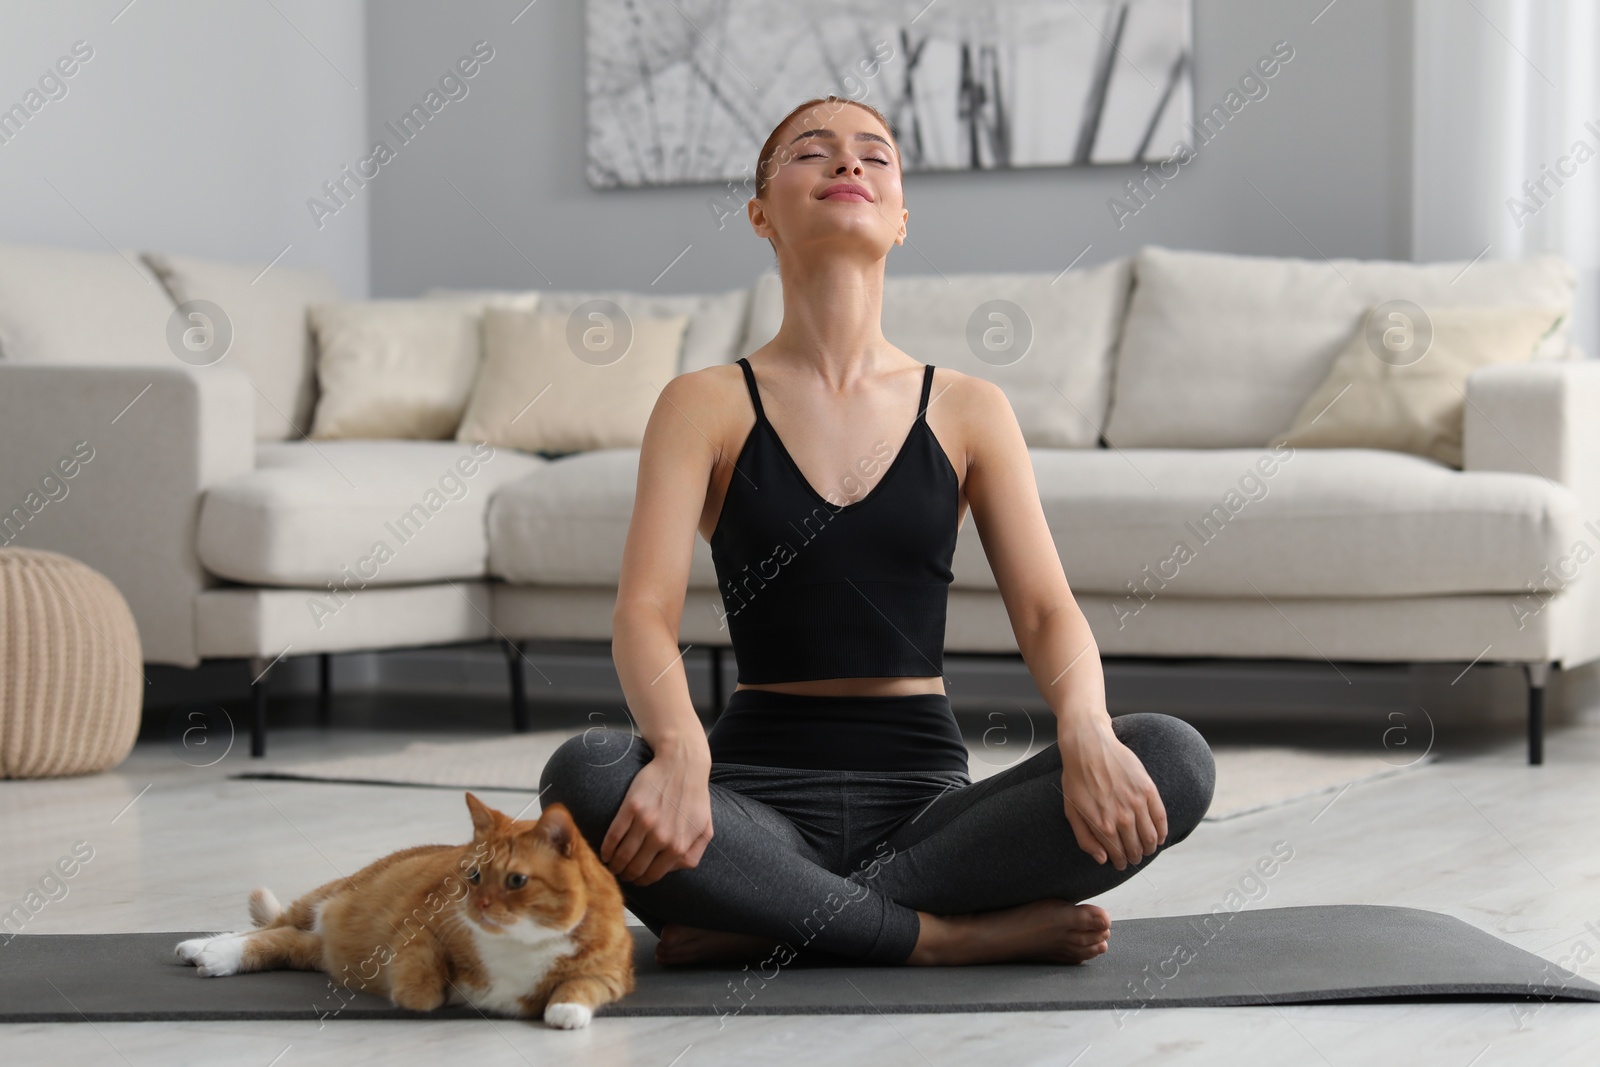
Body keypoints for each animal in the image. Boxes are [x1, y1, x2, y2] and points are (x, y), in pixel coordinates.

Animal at [172, 793, 627, 1023]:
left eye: (516, 881)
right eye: (473, 875)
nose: (476, 905)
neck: (520, 943)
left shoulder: (611, 975)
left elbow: (582, 986)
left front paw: (566, 1008)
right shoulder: (418, 925)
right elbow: (422, 987)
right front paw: (425, 988)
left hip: (314, 946)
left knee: (281, 941)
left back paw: (214, 956)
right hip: (323, 898)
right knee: (264, 928)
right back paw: (203, 948)